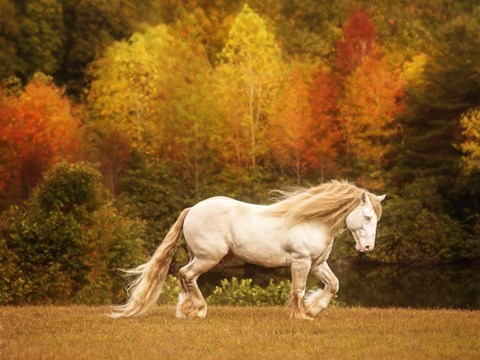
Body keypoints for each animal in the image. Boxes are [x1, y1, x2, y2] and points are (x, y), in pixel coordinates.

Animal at [110, 181, 384, 320]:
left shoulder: (317, 264)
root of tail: (192, 209)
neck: (312, 220)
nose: (367, 247)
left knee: (185, 276)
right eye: (367, 216)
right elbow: (298, 289)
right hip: (209, 257)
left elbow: (334, 285)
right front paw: (301, 315)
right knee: (187, 275)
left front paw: (314, 309)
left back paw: (185, 311)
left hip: (198, 256)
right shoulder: (301, 262)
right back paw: (200, 310)